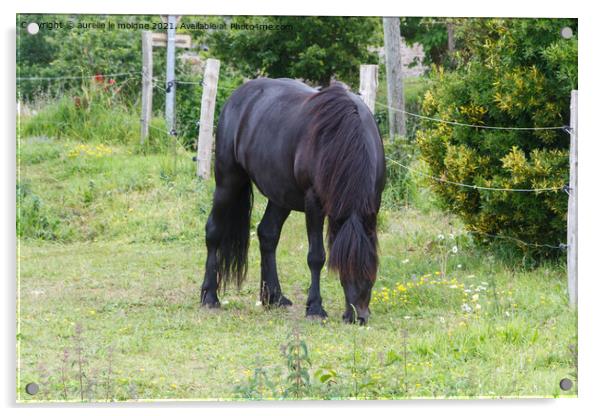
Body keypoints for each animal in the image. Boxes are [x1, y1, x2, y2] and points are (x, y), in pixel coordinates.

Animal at [199, 78, 382, 324]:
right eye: (344, 265)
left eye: (369, 265)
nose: (358, 316)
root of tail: (237, 97)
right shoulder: (314, 204)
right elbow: (316, 257)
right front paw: (315, 307)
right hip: (228, 182)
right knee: (214, 231)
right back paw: (210, 296)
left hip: (280, 197)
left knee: (267, 235)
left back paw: (274, 297)